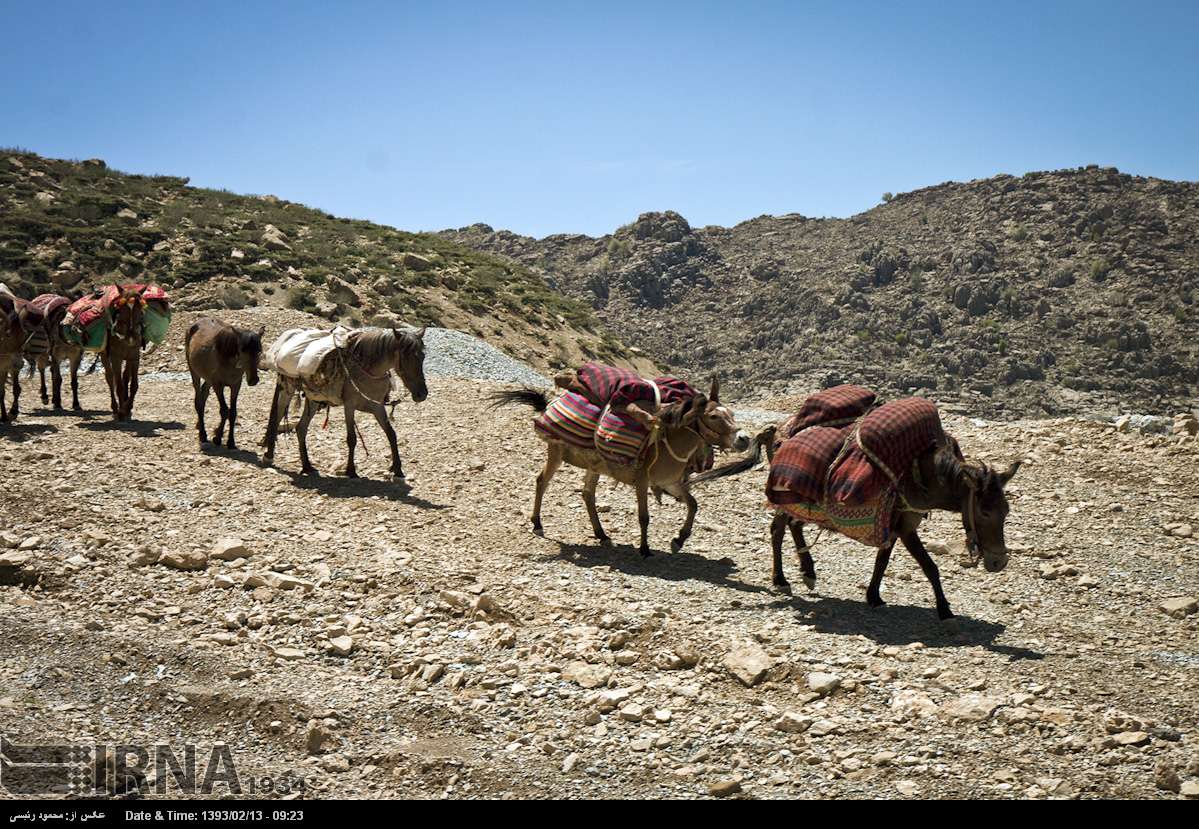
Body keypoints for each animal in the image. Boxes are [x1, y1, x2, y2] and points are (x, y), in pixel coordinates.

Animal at [184, 316, 264, 448]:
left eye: (259, 351)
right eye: (242, 350)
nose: (253, 380)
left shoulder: (236, 385)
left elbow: (232, 413)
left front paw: (230, 441)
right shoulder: (218, 385)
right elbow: (224, 411)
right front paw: (217, 437)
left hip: (209, 379)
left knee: (204, 394)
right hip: (194, 372)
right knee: (199, 401)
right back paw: (202, 434)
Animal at [262, 326, 426, 479]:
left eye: (423, 356)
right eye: (406, 357)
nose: (422, 394)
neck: (367, 370)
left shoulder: (377, 406)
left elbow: (391, 434)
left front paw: (397, 469)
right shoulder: (349, 405)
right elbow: (351, 438)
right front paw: (351, 471)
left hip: (313, 399)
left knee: (301, 428)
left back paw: (307, 466)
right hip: (287, 390)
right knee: (276, 419)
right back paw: (269, 456)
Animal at [489, 381, 748, 556]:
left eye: (732, 413)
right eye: (713, 416)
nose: (744, 439)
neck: (671, 444)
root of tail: (551, 403)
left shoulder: (670, 483)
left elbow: (693, 505)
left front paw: (679, 539)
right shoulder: (643, 481)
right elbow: (644, 516)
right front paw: (645, 549)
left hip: (594, 465)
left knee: (587, 494)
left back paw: (601, 535)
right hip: (556, 452)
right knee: (542, 481)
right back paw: (537, 524)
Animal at [695, 424, 1021, 619]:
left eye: (1006, 511)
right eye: (985, 512)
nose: (999, 562)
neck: (926, 477)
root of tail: (778, 431)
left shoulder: (892, 525)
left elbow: (882, 562)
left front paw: (873, 596)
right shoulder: (905, 528)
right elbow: (930, 567)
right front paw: (944, 609)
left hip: (802, 503)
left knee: (793, 527)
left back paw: (808, 572)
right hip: (785, 497)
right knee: (777, 530)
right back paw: (782, 580)